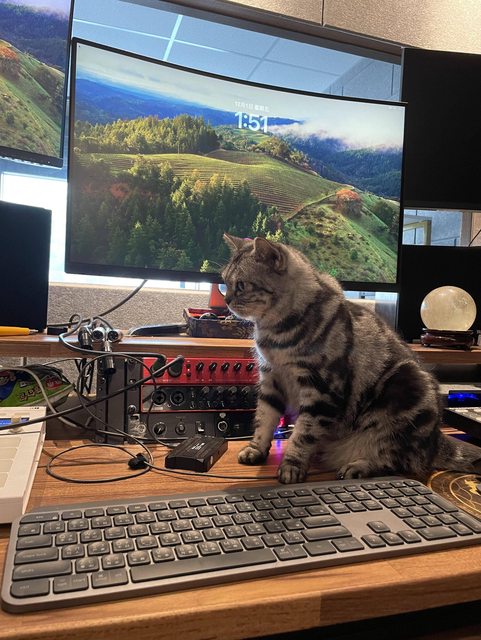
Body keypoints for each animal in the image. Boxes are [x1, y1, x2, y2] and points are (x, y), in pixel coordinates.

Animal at [221, 233, 481, 484]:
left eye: (241, 285)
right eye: (225, 282)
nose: (226, 300)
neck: (274, 334)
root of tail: (436, 439)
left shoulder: (320, 390)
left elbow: (302, 434)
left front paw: (291, 465)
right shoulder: (270, 380)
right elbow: (264, 420)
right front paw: (256, 449)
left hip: (406, 388)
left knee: (395, 460)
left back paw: (358, 466)